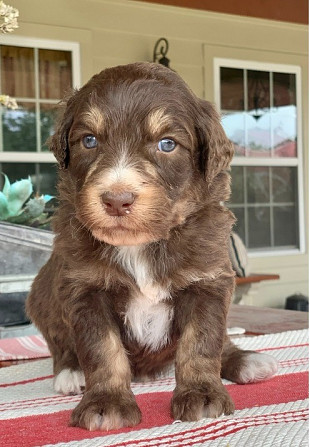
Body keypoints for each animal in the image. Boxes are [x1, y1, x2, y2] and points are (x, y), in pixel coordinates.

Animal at [26, 63, 278, 430]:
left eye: (167, 144)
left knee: (223, 343)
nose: (117, 200)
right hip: (42, 292)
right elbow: (102, 349)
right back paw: (70, 373)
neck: (141, 243)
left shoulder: (207, 280)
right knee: (61, 344)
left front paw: (202, 395)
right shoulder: (84, 286)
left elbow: (202, 341)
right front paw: (106, 402)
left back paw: (247, 362)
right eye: (89, 140)